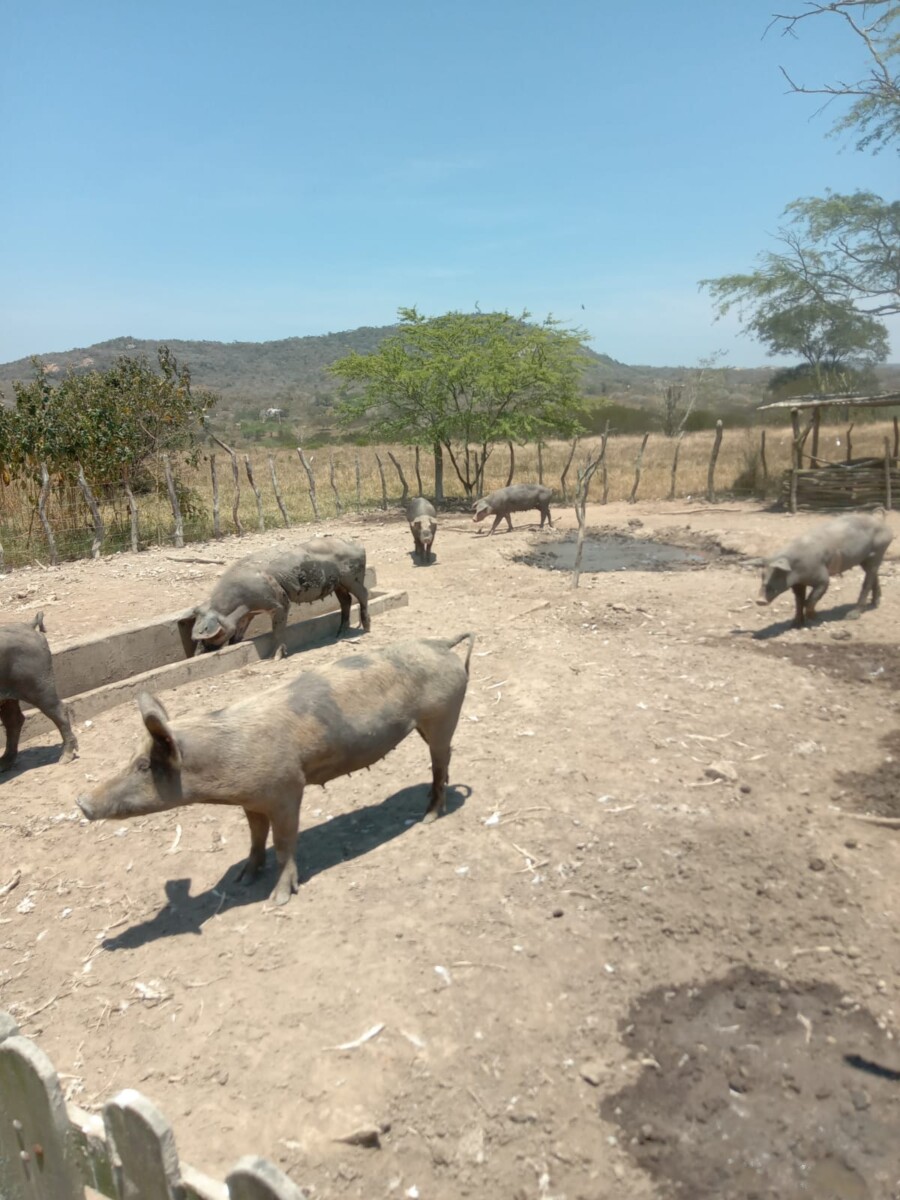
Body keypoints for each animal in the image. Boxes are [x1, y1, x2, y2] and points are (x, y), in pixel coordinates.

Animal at [0, 614, 78, 772]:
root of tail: (29, 626)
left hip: (39, 686)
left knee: (59, 710)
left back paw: (65, 757)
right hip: (10, 695)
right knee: (13, 720)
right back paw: (4, 763)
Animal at [75, 633, 480, 902]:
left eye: (144, 765)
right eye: (131, 757)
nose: (81, 801)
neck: (221, 756)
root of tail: (444, 646)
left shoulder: (287, 788)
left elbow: (284, 843)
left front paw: (277, 899)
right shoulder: (252, 800)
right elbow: (256, 838)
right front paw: (242, 879)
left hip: (443, 715)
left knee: (441, 763)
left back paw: (429, 817)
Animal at [192, 537, 372, 662]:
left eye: (212, 633)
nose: (196, 654)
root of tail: (358, 545)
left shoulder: (279, 603)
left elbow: (277, 629)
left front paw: (275, 658)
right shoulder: (248, 614)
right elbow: (237, 635)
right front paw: (233, 645)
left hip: (353, 578)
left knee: (363, 594)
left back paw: (366, 628)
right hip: (339, 584)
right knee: (346, 600)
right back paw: (340, 633)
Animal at [763, 511, 897, 633]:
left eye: (778, 573)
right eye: (763, 575)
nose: (760, 600)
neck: (795, 566)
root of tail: (882, 522)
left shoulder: (822, 578)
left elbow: (811, 599)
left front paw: (816, 618)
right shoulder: (798, 584)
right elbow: (799, 600)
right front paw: (794, 626)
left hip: (879, 550)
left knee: (868, 580)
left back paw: (851, 616)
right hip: (865, 559)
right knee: (873, 574)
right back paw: (875, 603)